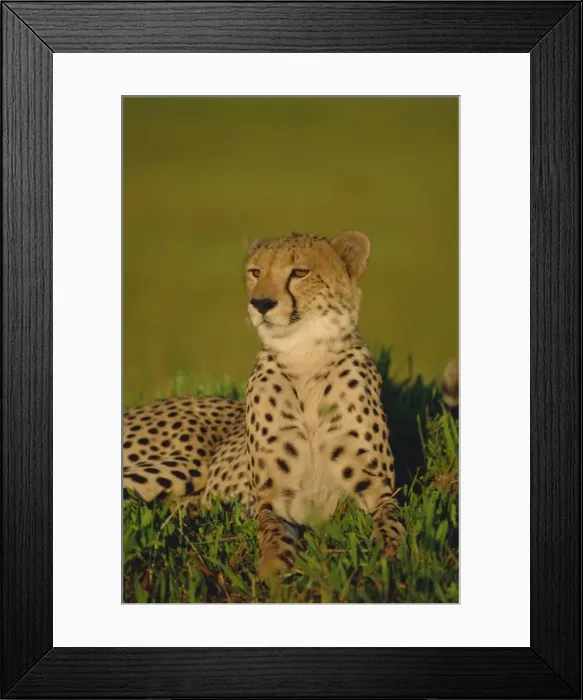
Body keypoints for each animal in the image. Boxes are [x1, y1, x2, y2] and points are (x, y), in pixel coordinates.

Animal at [123, 229, 406, 577]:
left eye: (300, 272)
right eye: (256, 272)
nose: (260, 303)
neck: (305, 356)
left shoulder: (378, 490)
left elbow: (391, 522)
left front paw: (389, 554)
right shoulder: (271, 499)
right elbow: (271, 532)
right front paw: (274, 567)